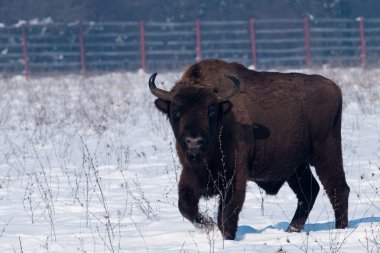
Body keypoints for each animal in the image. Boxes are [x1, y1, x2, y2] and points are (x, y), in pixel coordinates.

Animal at [147, 58, 348, 239]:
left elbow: (227, 215)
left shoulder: (236, 178)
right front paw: (208, 226)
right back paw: (291, 230)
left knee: (338, 188)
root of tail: (334, 88)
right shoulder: (190, 174)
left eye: (211, 111)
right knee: (309, 191)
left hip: (326, 152)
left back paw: (340, 229)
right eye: (176, 111)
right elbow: (186, 206)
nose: (194, 142)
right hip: (297, 167)